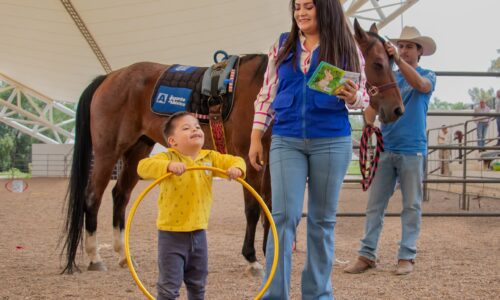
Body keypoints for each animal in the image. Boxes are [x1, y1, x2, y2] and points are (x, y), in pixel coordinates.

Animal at [60, 20, 402, 274]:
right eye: (377, 63)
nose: (396, 110)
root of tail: (111, 77)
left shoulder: (271, 161)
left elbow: (270, 207)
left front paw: (270, 252)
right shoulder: (251, 161)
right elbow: (253, 208)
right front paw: (251, 258)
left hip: (138, 149)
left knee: (120, 195)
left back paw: (121, 254)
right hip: (108, 151)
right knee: (93, 197)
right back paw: (95, 257)